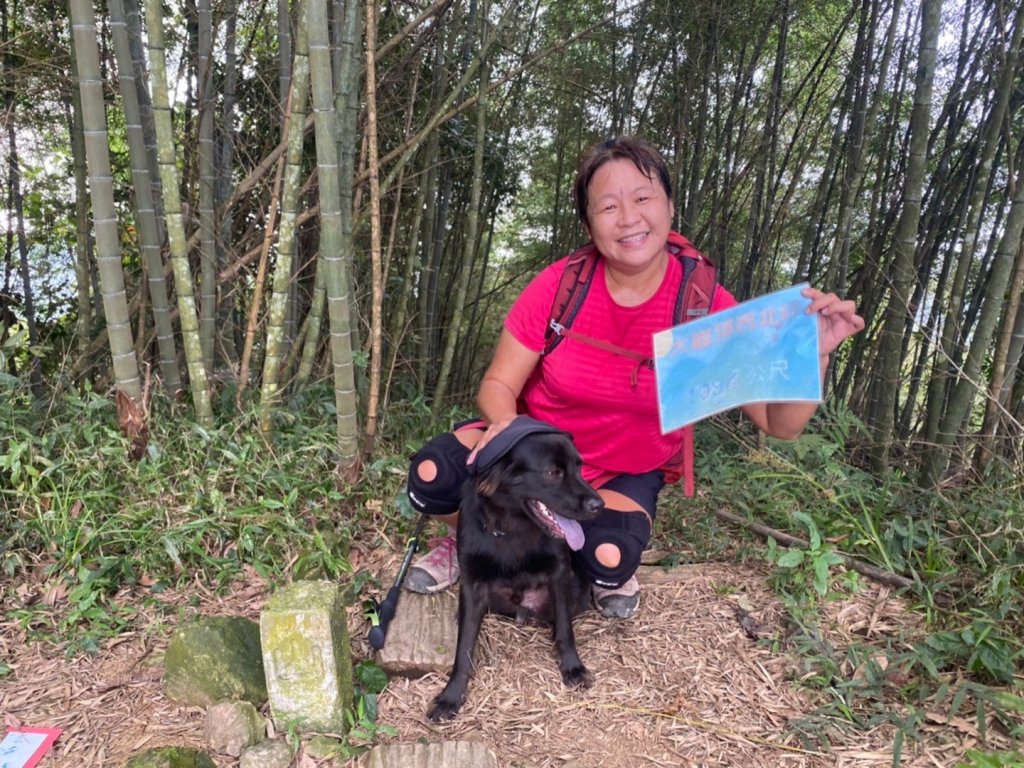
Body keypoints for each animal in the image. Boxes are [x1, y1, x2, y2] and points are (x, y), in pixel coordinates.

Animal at [428, 423, 602, 724]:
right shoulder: (472, 584)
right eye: (553, 473)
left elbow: (565, 629)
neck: (512, 526)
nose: (598, 505)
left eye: (579, 468)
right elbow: (464, 647)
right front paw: (452, 695)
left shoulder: (559, 572)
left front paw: (572, 667)